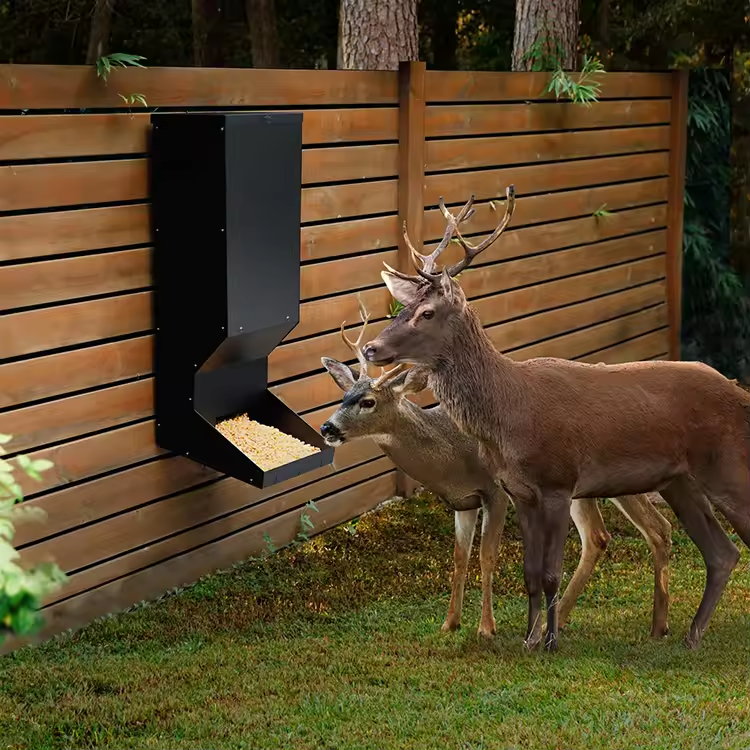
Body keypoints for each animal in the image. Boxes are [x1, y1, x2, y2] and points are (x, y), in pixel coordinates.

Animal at [319, 299, 673, 640]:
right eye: (343, 396)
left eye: (368, 401)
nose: (327, 428)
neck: (450, 456)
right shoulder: (463, 502)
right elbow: (459, 557)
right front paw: (450, 623)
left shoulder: (496, 491)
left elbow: (487, 555)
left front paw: (486, 628)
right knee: (601, 535)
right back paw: (564, 620)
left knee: (652, 528)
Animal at [361, 187, 750, 652]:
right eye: (401, 309)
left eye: (427, 313)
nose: (371, 349)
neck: (509, 414)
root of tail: (741, 392)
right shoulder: (520, 491)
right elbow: (529, 574)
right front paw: (529, 641)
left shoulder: (559, 482)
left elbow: (550, 573)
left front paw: (549, 642)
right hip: (680, 481)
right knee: (722, 552)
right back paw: (689, 636)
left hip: (728, 465)